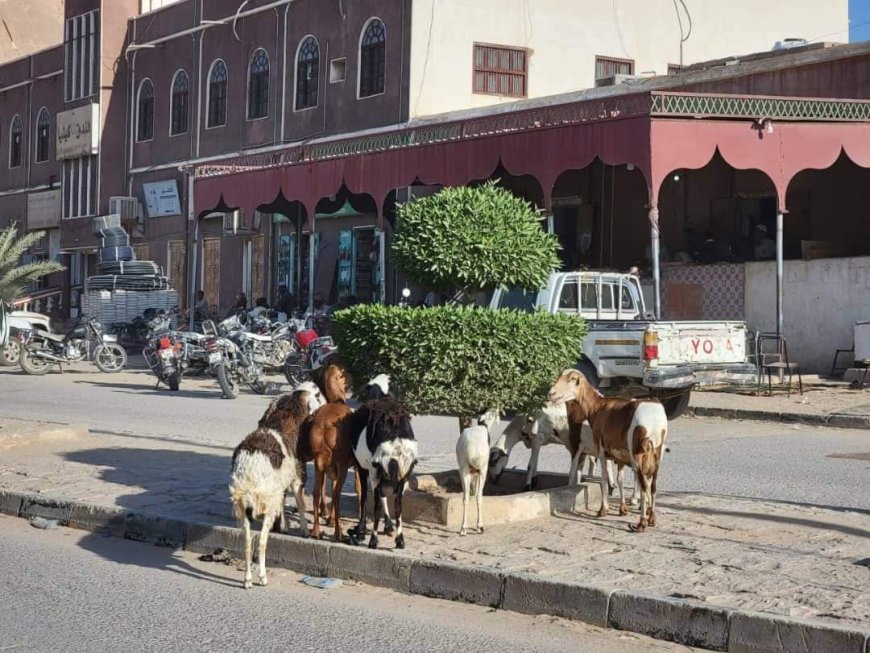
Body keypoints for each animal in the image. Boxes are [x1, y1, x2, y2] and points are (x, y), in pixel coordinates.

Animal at [348, 374, 418, 548]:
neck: (382, 396)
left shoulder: (363, 467)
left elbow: (365, 497)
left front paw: (361, 528)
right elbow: (386, 498)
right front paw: (389, 527)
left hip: (376, 471)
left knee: (377, 505)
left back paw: (373, 540)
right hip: (403, 473)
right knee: (398, 504)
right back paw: (400, 540)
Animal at [456, 408, 498, 536]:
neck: (483, 425)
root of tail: (474, 450)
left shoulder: (470, 472)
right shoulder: (480, 471)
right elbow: (477, 495)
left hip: (464, 469)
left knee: (465, 498)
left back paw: (463, 528)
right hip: (483, 469)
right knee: (479, 496)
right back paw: (480, 526)